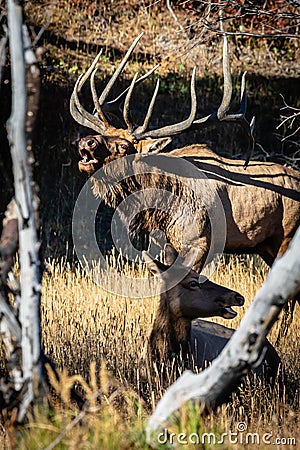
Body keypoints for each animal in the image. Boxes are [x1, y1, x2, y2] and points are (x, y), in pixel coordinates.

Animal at [71, 33, 300, 272]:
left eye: (125, 146)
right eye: (104, 134)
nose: (86, 142)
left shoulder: (199, 242)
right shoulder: (163, 242)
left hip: (286, 237)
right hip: (265, 247)